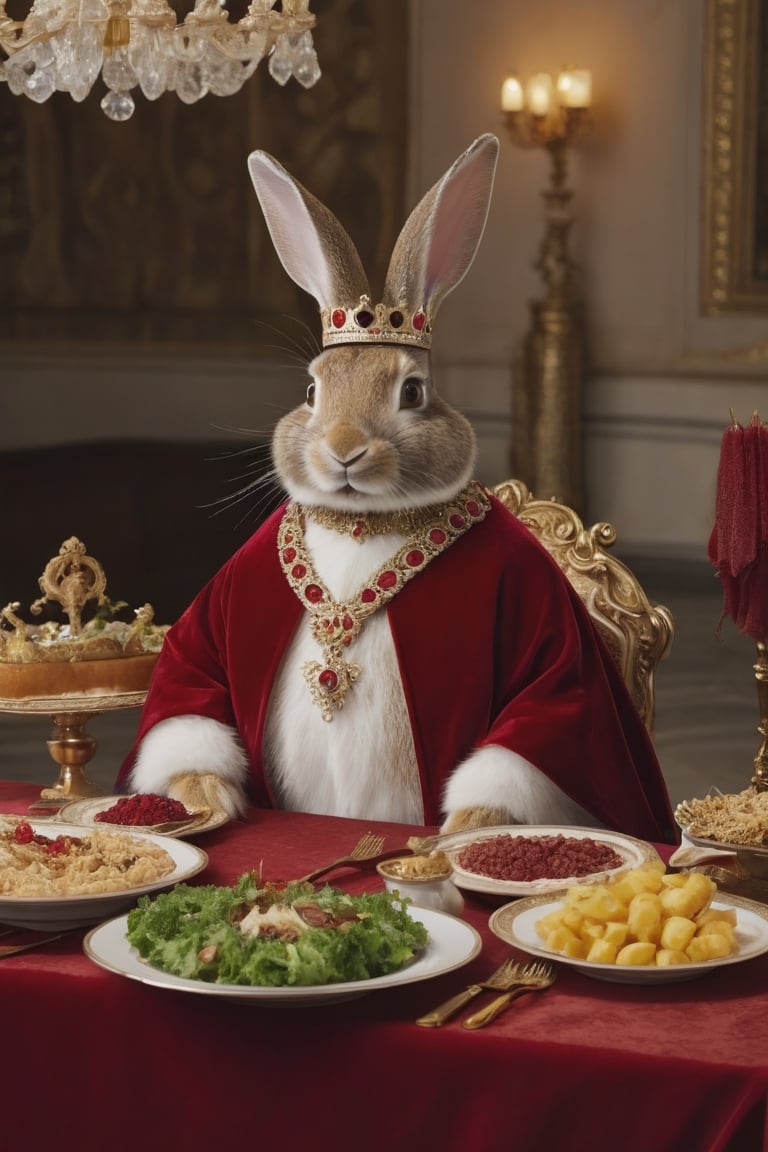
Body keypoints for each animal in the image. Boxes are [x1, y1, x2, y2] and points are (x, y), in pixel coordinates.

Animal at [117, 134, 677, 843]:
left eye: (412, 392)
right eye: (311, 390)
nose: (343, 450)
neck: (364, 523)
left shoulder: (552, 654)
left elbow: (539, 717)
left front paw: (464, 828)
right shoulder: (214, 624)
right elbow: (191, 688)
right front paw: (205, 798)